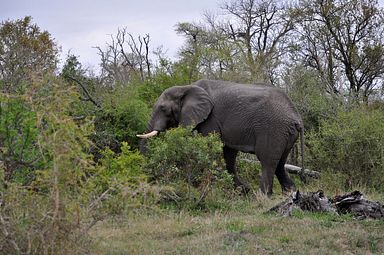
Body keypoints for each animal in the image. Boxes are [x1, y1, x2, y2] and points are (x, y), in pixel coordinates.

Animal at [136, 79, 304, 195]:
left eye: (163, 109)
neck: (186, 87)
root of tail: (296, 117)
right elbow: (228, 153)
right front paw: (241, 191)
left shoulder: (211, 119)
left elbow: (211, 146)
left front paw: (203, 187)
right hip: (285, 133)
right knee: (280, 163)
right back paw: (290, 194)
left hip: (273, 128)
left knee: (267, 161)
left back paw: (262, 197)